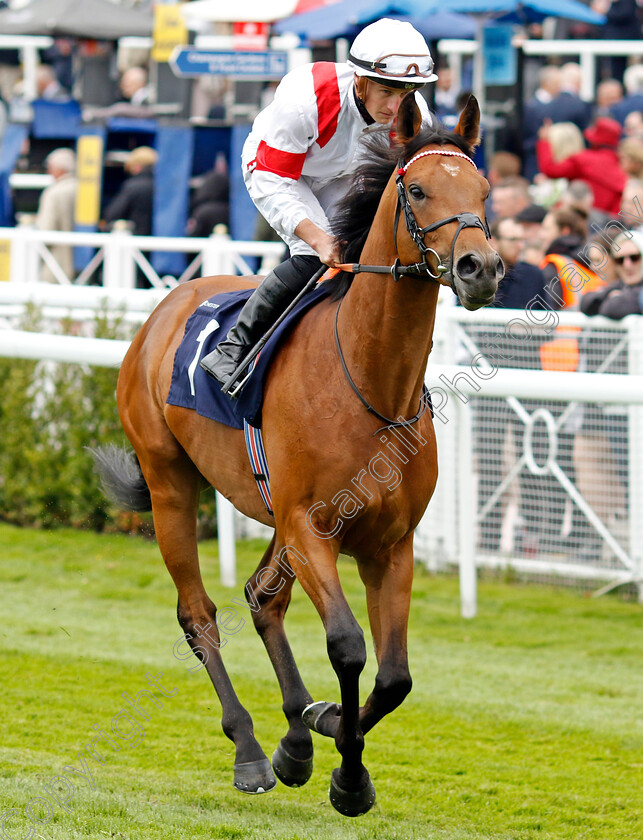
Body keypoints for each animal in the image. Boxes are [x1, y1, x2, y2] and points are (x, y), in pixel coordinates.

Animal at [94, 95, 504, 816]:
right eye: (418, 189)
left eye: (484, 190)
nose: (478, 269)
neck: (370, 381)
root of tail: (168, 304)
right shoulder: (311, 529)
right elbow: (347, 645)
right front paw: (346, 772)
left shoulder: (387, 543)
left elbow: (395, 677)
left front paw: (328, 733)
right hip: (171, 482)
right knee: (200, 616)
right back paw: (253, 750)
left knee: (262, 598)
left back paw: (292, 739)